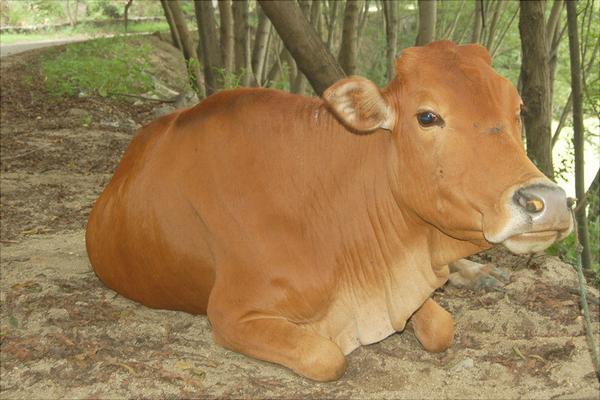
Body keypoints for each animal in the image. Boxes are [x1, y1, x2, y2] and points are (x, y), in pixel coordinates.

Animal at [84, 40, 572, 382]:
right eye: (427, 116)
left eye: (517, 108)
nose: (548, 202)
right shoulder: (230, 313)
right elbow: (327, 356)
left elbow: (441, 327)